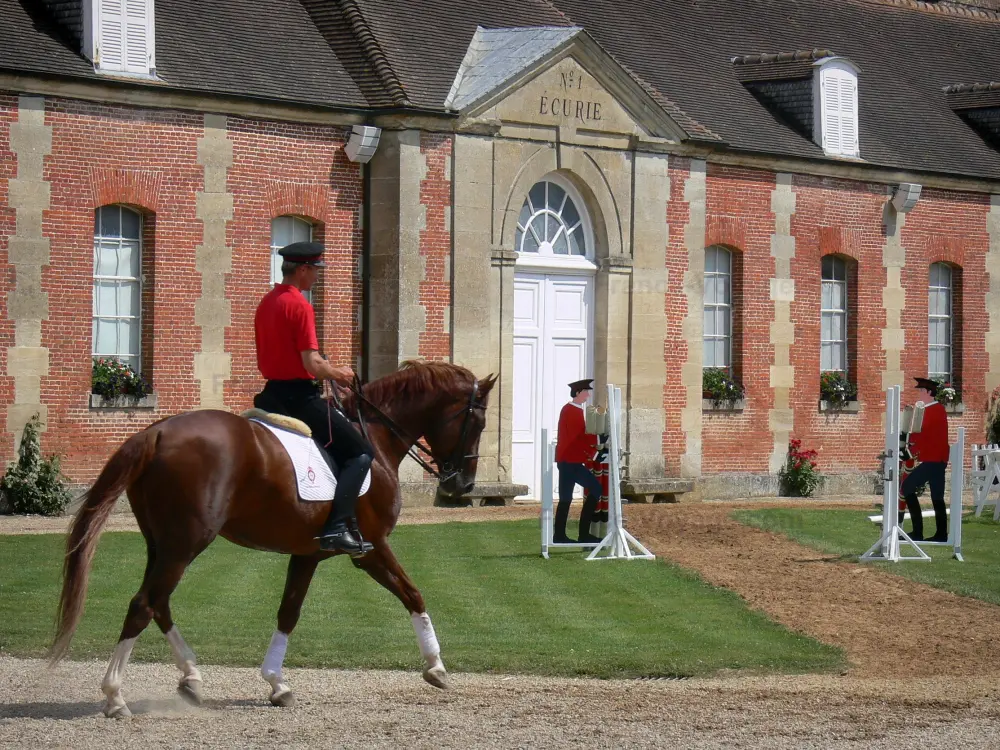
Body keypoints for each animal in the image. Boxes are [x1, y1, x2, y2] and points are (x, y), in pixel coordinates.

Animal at [50, 362, 496, 720]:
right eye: (478, 422)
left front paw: (276, 683)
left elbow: (288, 613)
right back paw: (115, 696)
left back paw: (191, 677)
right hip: (185, 543)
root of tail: (158, 431)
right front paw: (436, 665)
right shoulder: (370, 550)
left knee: (159, 603)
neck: (376, 438)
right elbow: (413, 594)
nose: (462, 485)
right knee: (143, 604)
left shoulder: (307, 554)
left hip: (162, 544)